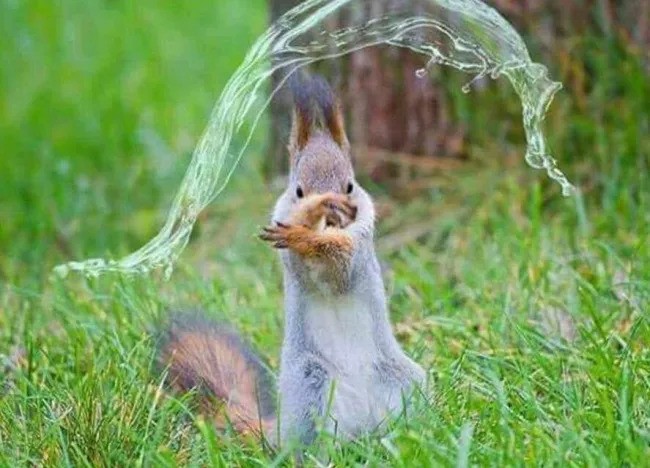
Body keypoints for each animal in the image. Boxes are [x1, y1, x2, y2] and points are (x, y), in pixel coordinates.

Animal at [158, 72, 425, 448]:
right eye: (298, 189)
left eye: (350, 186)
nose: (334, 215)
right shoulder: (290, 256)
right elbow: (306, 266)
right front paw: (308, 220)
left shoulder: (360, 246)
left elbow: (341, 270)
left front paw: (312, 236)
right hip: (310, 382)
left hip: (403, 382)